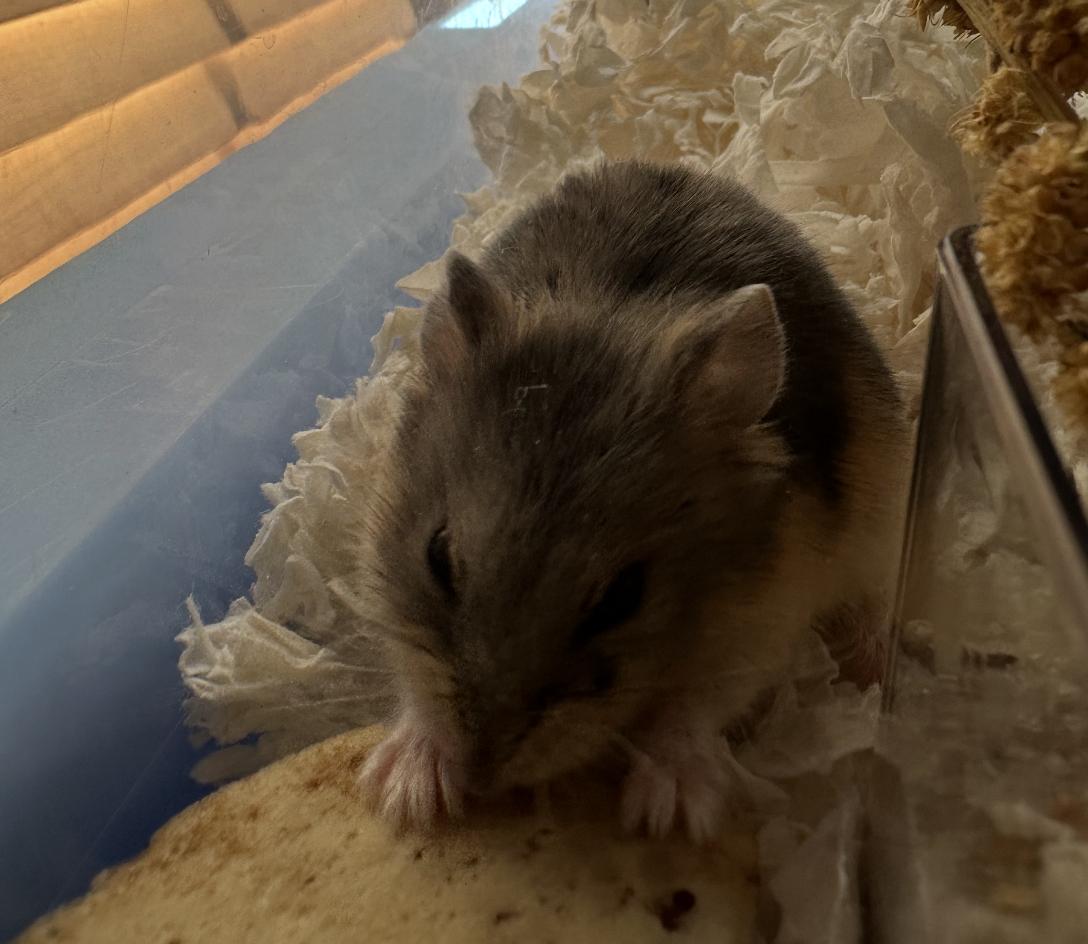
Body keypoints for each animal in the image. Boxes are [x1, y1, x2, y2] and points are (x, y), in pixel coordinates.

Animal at [354, 160, 908, 841]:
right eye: (437, 556)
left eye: (623, 597)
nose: (480, 777)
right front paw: (403, 791)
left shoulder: (762, 618)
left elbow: (694, 707)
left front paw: (666, 814)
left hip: (883, 515)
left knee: (875, 604)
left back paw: (871, 672)